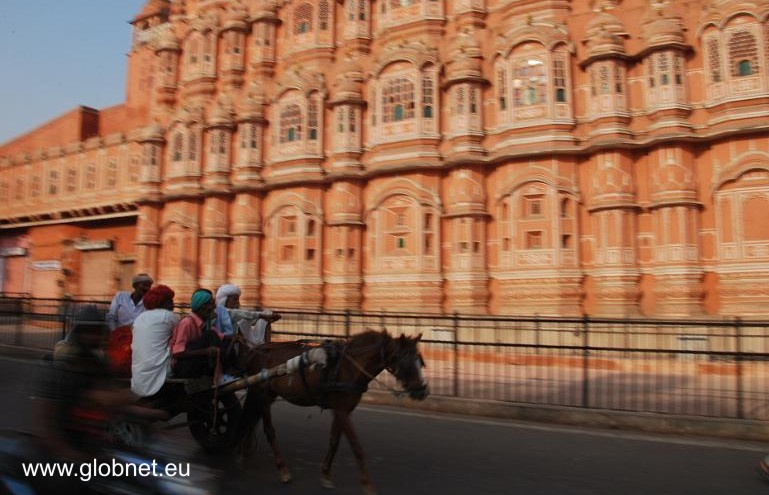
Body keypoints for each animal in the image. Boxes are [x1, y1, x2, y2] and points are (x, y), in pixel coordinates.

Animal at [234, 330, 428, 495]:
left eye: (419, 361)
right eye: (405, 362)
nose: (421, 391)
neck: (350, 367)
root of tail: (256, 350)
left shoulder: (343, 410)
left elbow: (334, 440)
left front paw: (326, 474)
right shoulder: (341, 410)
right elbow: (356, 446)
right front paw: (367, 484)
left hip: (264, 395)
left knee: (251, 421)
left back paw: (244, 452)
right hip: (263, 393)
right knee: (268, 430)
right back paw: (282, 469)